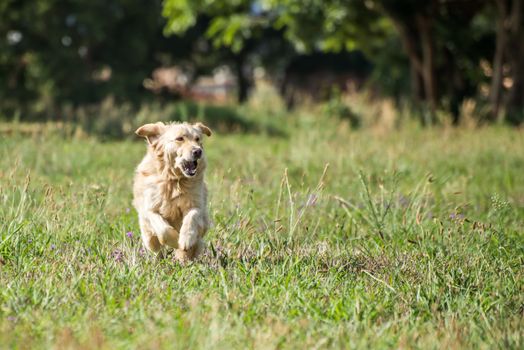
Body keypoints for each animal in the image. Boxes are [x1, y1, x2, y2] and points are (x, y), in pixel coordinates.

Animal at [132, 121, 212, 262]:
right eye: (180, 139)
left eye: (197, 139)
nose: (198, 151)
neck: (174, 180)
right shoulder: (149, 209)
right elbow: (163, 228)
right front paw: (175, 241)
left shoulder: (198, 205)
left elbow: (192, 216)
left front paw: (185, 239)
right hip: (148, 238)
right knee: (156, 249)